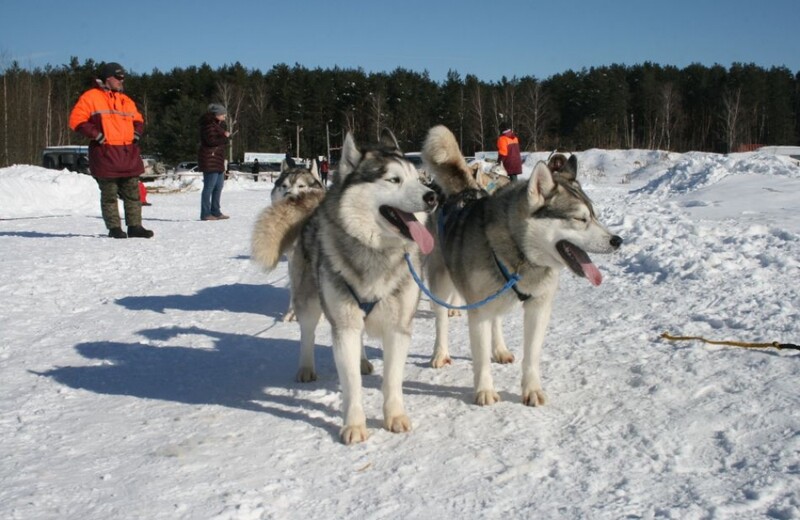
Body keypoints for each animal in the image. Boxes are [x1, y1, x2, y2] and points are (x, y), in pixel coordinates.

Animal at [252, 129, 434, 442]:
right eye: (393, 179)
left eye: (417, 178)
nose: (433, 195)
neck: (376, 253)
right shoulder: (344, 326)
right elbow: (351, 384)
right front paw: (354, 425)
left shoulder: (398, 328)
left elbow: (392, 380)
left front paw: (395, 416)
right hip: (310, 301)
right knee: (307, 333)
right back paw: (306, 368)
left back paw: (362, 361)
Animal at [422, 125, 620, 406]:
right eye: (580, 219)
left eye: (594, 216)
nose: (618, 241)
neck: (520, 253)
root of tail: (463, 193)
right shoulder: (478, 311)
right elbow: (480, 358)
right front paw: (484, 390)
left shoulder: (539, 308)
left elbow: (532, 356)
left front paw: (531, 389)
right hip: (441, 282)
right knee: (441, 320)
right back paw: (440, 353)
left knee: (496, 321)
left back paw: (500, 349)